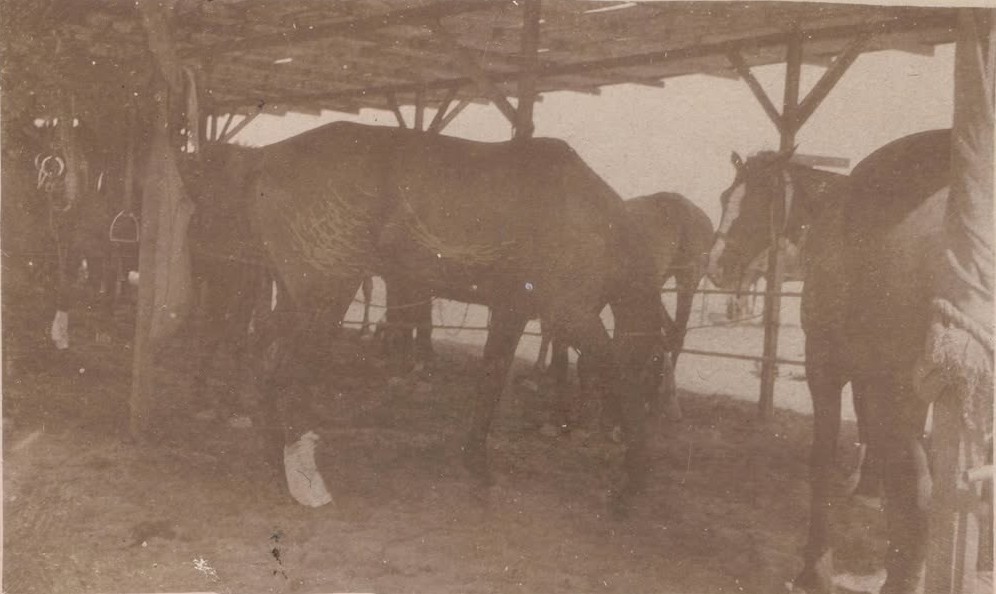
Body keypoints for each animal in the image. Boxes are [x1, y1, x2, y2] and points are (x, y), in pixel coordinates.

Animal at [189, 121, 666, 510]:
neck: (589, 218)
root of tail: (264, 159)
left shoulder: (510, 311)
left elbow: (491, 380)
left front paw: (477, 465)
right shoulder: (572, 314)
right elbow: (618, 376)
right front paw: (633, 480)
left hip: (295, 296)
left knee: (258, 357)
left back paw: (273, 456)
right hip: (323, 298)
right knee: (281, 370)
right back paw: (305, 481)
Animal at [706, 129, 951, 593]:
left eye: (762, 197)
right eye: (726, 195)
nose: (717, 266)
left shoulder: (827, 365)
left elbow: (823, 460)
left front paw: (815, 566)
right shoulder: (874, 380)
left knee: (920, 488)